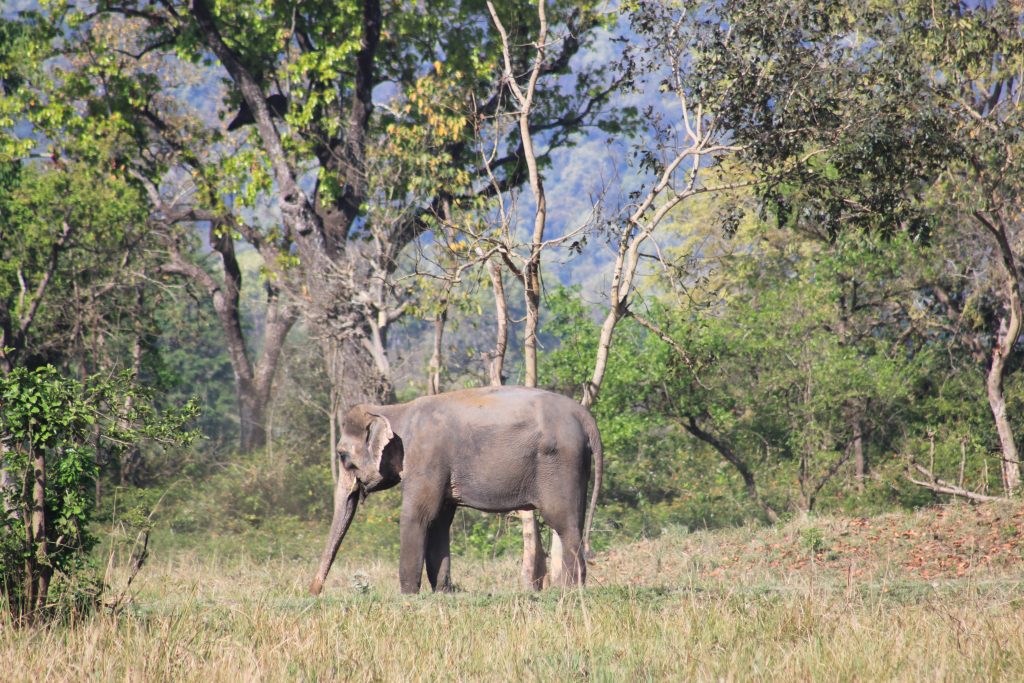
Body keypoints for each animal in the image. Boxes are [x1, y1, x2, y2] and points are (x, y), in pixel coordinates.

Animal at [308, 385, 603, 595]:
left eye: (342, 456)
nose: (313, 592)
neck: (394, 410)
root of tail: (584, 415)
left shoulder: (425, 458)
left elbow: (417, 516)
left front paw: (407, 595)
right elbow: (439, 521)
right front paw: (442, 592)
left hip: (560, 463)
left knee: (564, 523)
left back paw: (569, 590)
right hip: (577, 466)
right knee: (574, 520)